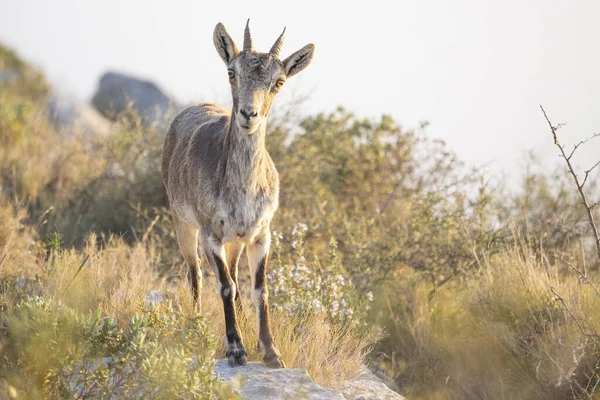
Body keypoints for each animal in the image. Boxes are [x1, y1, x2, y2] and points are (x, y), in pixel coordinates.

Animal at [162, 19, 316, 368]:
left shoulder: (261, 235)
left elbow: (259, 289)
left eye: (279, 82)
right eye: (232, 71)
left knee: (232, 272)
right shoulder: (211, 233)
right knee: (196, 273)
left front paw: (271, 352)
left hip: (236, 241)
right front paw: (235, 349)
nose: (248, 114)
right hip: (183, 222)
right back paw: (197, 324)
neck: (242, 191)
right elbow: (224, 286)